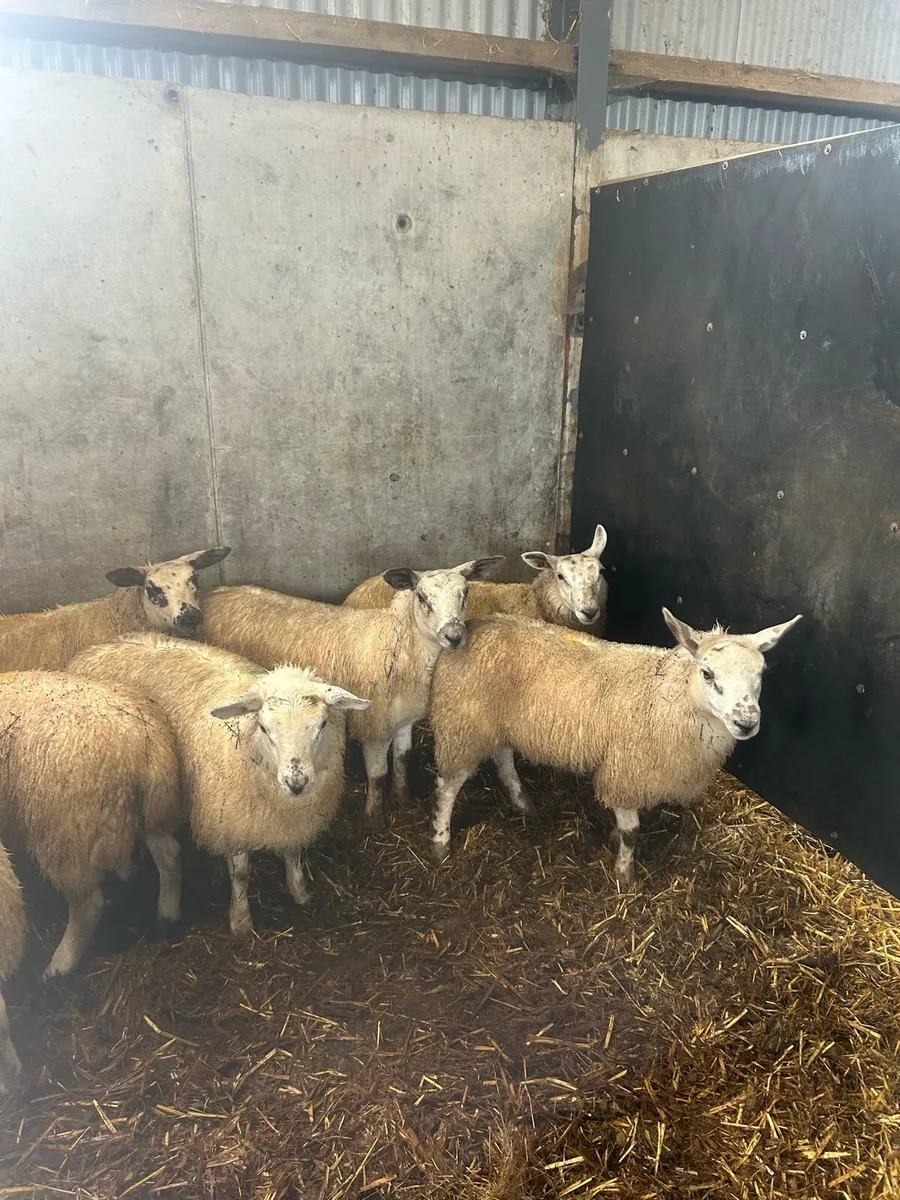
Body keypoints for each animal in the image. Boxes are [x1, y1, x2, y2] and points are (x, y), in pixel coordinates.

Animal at [0, 671, 183, 978]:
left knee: (88, 906)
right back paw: (166, 914)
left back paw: (59, 966)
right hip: (148, 809)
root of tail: (144, 742)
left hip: (67, 829)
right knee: (169, 855)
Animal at [68, 634, 371, 936]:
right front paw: (240, 921)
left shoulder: (292, 818)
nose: (296, 782)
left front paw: (300, 891)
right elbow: (240, 873)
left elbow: (293, 851)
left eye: (323, 724)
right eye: (264, 728)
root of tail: (98, 648)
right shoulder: (231, 820)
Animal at [200, 556, 505, 832]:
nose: (454, 636)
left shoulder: (403, 718)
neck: (398, 646)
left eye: (465, 593)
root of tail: (216, 592)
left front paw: (401, 798)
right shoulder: (373, 724)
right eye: (422, 597)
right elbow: (378, 775)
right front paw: (373, 820)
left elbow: (403, 757)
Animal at [427, 607, 802, 882]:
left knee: (503, 756)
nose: (747, 722)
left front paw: (613, 842)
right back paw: (441, 842)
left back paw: (522, 801)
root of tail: (472, 627)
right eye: (707, 674)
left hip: (495, 722)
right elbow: (632, 831)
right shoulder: (625, 772)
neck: (666, 696)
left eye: (761, 673)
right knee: (447, 785)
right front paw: (624, 873)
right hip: (462, 725)